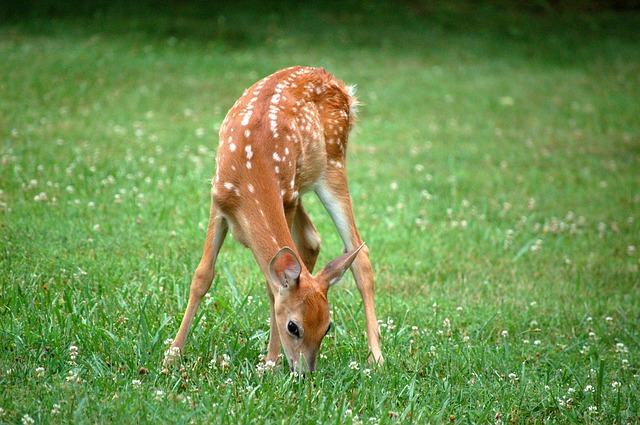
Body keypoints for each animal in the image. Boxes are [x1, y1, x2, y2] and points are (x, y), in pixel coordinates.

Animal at [168, 65, 382, 372]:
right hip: (303, 184)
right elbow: (202, 276)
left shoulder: (285, 198)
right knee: (313, 239)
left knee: (359, 256)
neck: (251, 176)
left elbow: (271, 289)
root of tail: (337, 82)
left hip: (332, 165)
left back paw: (377, 356)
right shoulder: (218, 199)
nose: (305, 373)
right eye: (294, 327)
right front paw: (172, 355)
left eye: (327, 328)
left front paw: (270, 362)